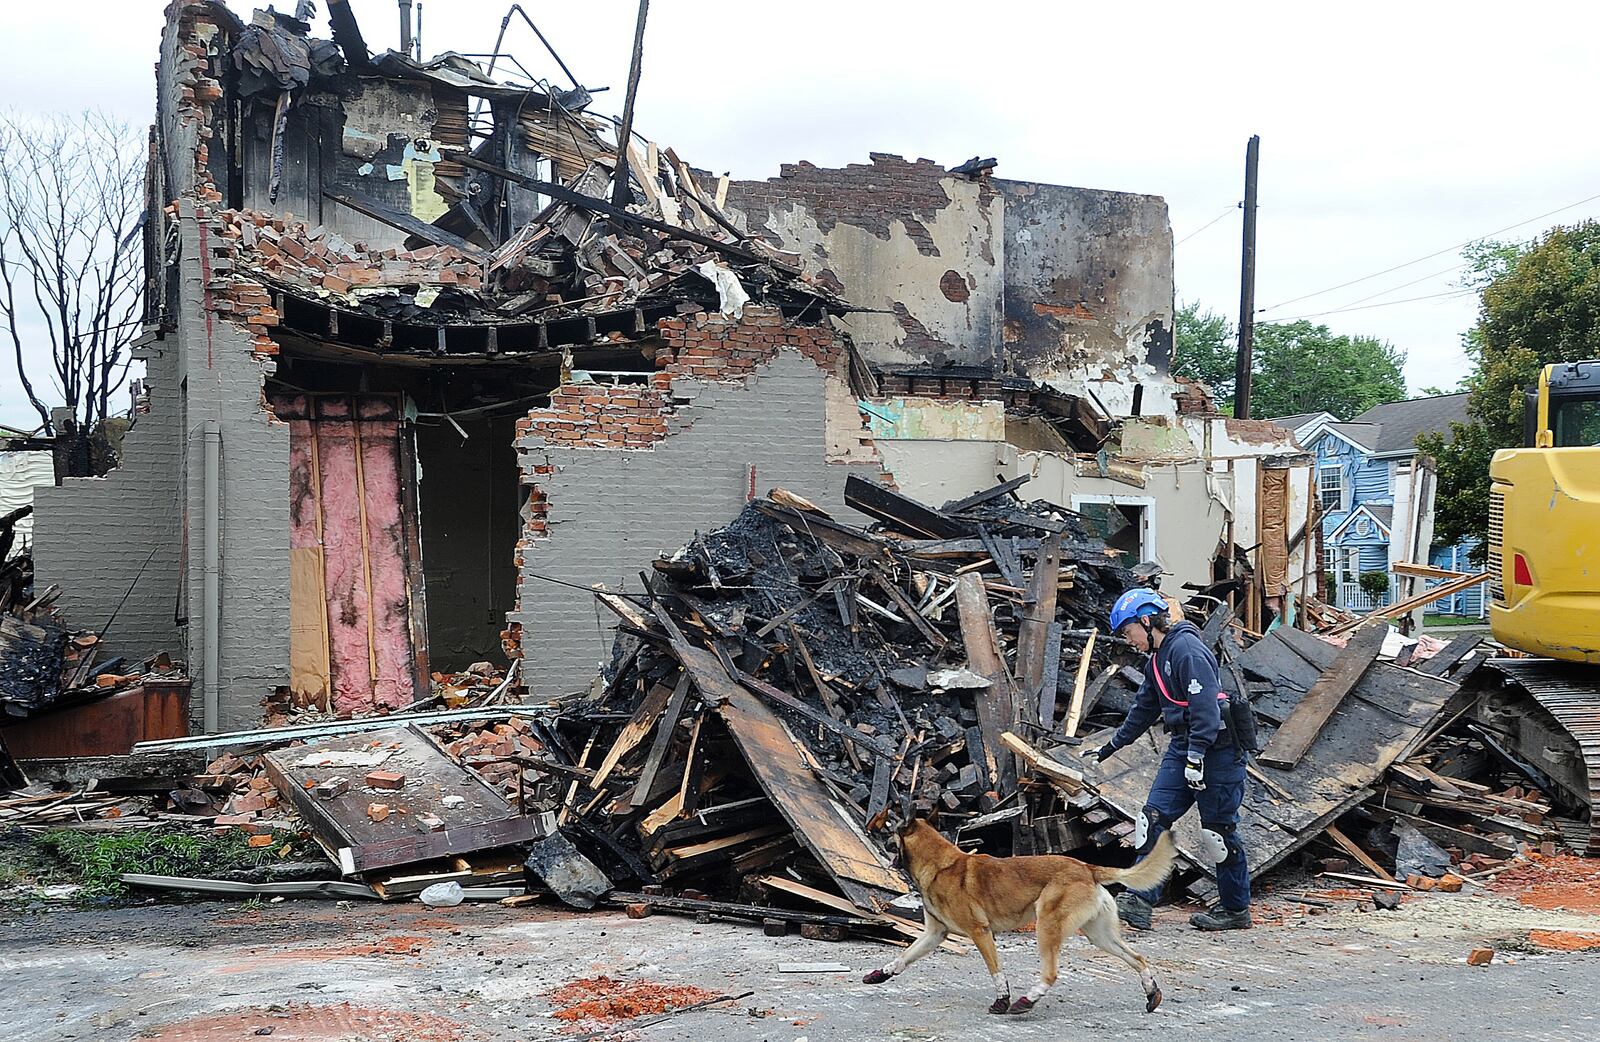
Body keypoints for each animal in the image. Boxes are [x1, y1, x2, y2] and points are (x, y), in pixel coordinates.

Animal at [864, 819, 1177, 1017]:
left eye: (891, 831)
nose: (871, 833)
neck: (941, 864)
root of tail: (1088, 867)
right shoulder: (934, 934)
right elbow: (903, 957)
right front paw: (882, 973)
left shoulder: (981, 932)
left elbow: (997, 972)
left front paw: (1002, 1002)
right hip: (1099, 935)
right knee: (1138, 959)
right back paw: (1151, 993)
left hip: (1047, 926)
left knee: (1050, 974)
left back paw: (1026, 1001)